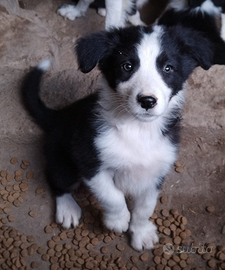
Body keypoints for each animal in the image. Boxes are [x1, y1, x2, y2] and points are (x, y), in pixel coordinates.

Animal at [22, 24, 213, 250]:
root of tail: (59, 115)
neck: (137, 129)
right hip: (64, 164)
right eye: (127, 66)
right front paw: (118, 220)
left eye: (168, 68)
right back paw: (67, 208)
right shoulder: (89, 161)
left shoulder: (156, 171)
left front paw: (141, 232)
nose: (147, 101)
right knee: (55, 179)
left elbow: (145, 207)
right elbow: (112, 196)